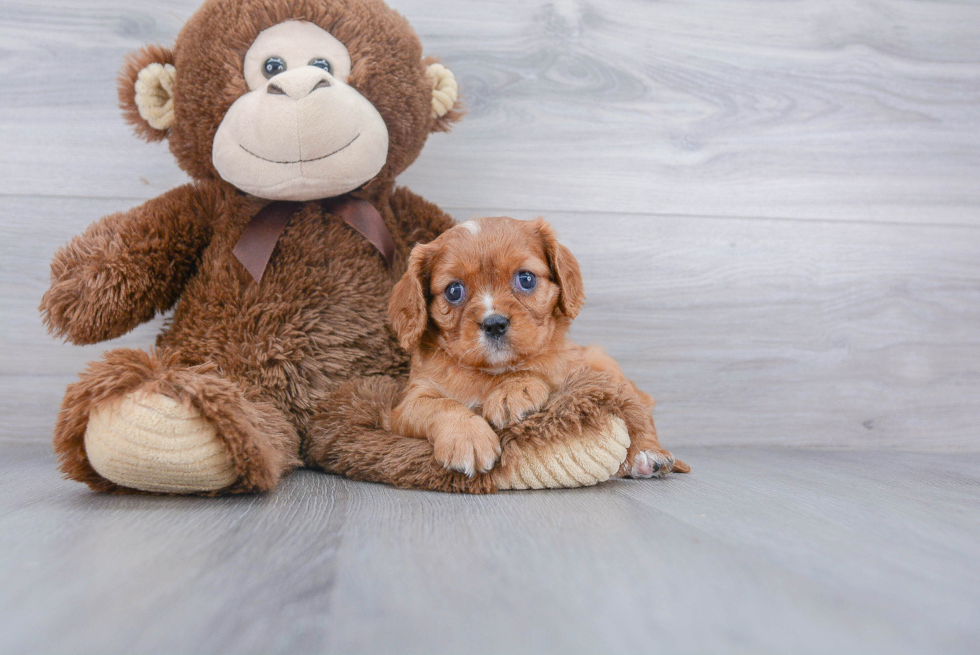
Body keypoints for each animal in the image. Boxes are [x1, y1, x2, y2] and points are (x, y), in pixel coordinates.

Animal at [384, 218, 688, 480]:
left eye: (526, 279)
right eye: (453, 291)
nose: (494, 324)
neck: (490, 373)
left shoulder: (565, 367)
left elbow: (538, 366)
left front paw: (514, 390)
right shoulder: (407, 404)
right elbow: (441, 405)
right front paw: (467, 437)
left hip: (607, 369)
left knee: (637, 412)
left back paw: (648, 454)